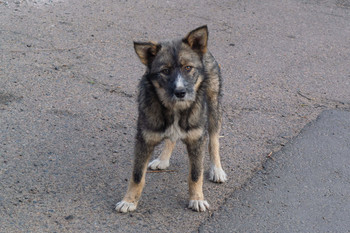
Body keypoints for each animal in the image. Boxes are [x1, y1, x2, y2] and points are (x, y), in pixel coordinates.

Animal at [116, 25, 228, 213]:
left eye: (188, 68)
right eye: (165, 71)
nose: (180, 92)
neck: (175, 108)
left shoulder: (197, 140)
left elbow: (196, 174)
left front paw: (197, 199)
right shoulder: (144, 139)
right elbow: (137, 175)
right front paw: (129, 200)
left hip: (214, 107)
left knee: (214, 140)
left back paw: (217, 169)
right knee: (172, 138)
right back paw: (163, 159)